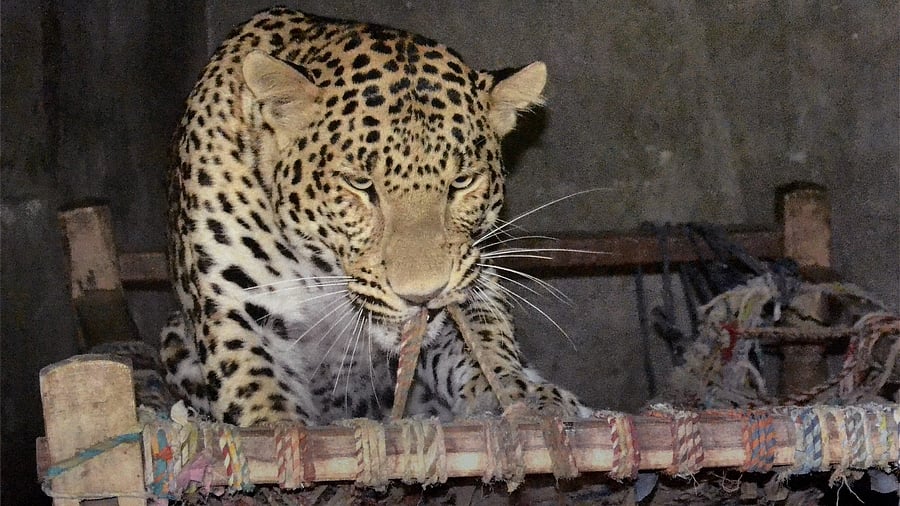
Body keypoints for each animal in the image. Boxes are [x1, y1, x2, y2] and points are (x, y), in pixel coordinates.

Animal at [161, 7, 590, 427]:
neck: (327, 273)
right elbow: (261, 395)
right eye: (360, 184)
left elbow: (487, 348)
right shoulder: (238, 308)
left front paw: (528, 397)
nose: (421, 296)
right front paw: (277, 425)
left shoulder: (472, 281)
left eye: (462, 181)